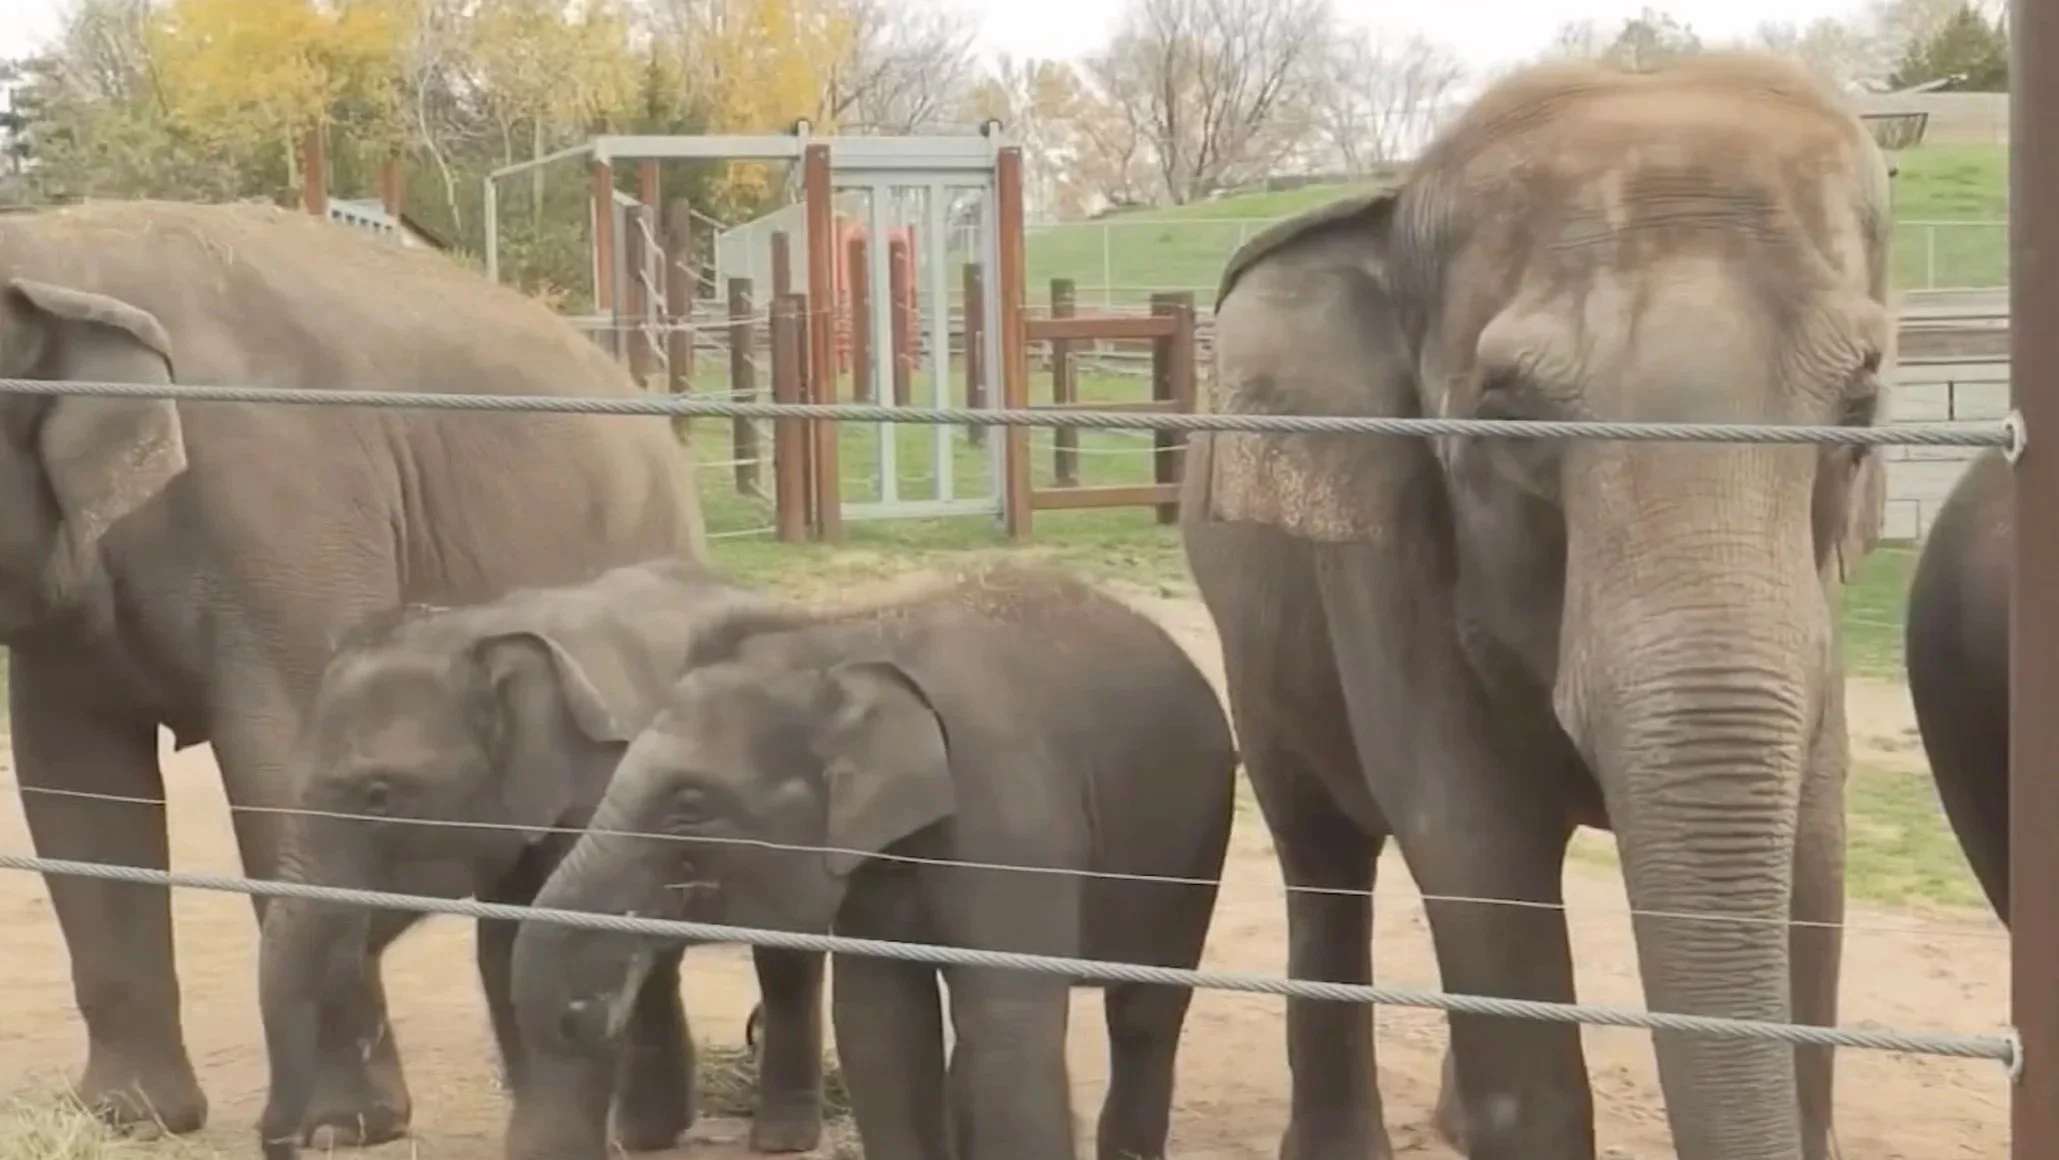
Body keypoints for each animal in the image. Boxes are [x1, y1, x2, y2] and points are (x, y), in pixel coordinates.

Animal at [0, 199, 708, 1146]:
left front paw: (344, 1129)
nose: (281, 1137)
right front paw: (129, 1119)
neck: (61, 252)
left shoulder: (287, 515)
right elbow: (75, 795)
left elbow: (277, 762)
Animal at [255, 557, 828, 1160]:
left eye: (378, 796)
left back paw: (781, 1140)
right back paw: (645, 1136)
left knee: (785, 958)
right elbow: (504, 955)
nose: (310, 1140)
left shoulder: (603, 788)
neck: (480, 629)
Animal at [505, 562, 1239, 1160]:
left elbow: (1006, 1020)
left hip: (1195, 840)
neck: (846, 638)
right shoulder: (866, 859)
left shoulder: (1012, 811)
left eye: (689, 804)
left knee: (1143, 1014)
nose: (587, 1009)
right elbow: (879, 1021)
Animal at [1178, 53, 1892, 1160]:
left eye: (1859, 404)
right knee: (1322, 849)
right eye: (1505, 412)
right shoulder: (1388, 567)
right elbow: (1475, 841)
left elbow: (1811, 848)